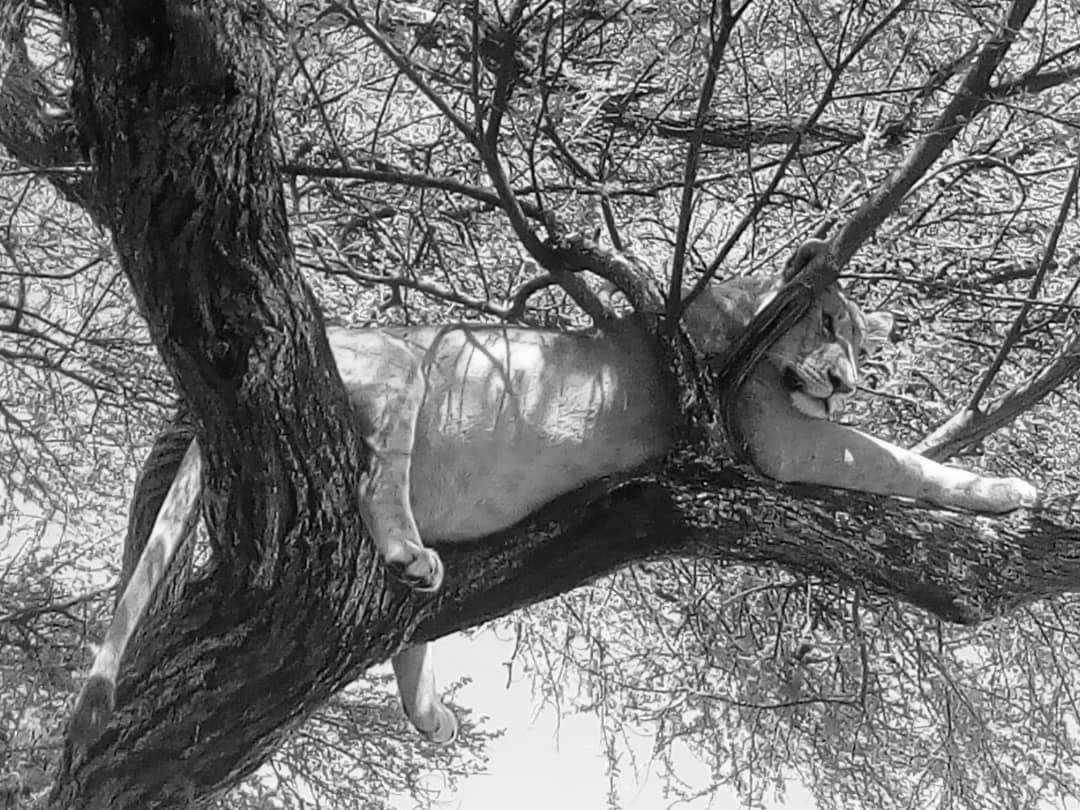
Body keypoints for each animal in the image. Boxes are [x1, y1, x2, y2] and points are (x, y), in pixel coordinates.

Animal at [69, 243, 1038, 747]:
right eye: (832, 322)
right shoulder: (774, 433)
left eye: (864, 344)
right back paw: (404, 553)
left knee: (405, 623)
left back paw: (429, 710)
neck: (747, 315)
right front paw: (1006, 487)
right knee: (375, 477)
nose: (848, 382)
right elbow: (896, 460)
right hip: (403, 363)